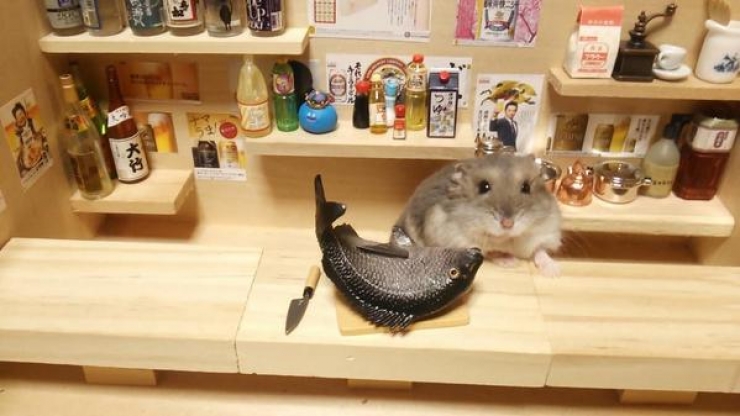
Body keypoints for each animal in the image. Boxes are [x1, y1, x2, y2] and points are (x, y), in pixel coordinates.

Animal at [393, 153, 562, 277]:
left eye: (526, 187)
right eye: (483, 186)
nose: (508, 224)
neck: (508, 239)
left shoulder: (546, 231)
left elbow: (540, 250)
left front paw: (553, 272)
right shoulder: (458, 239)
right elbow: (491, 251)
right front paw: (511, 262)